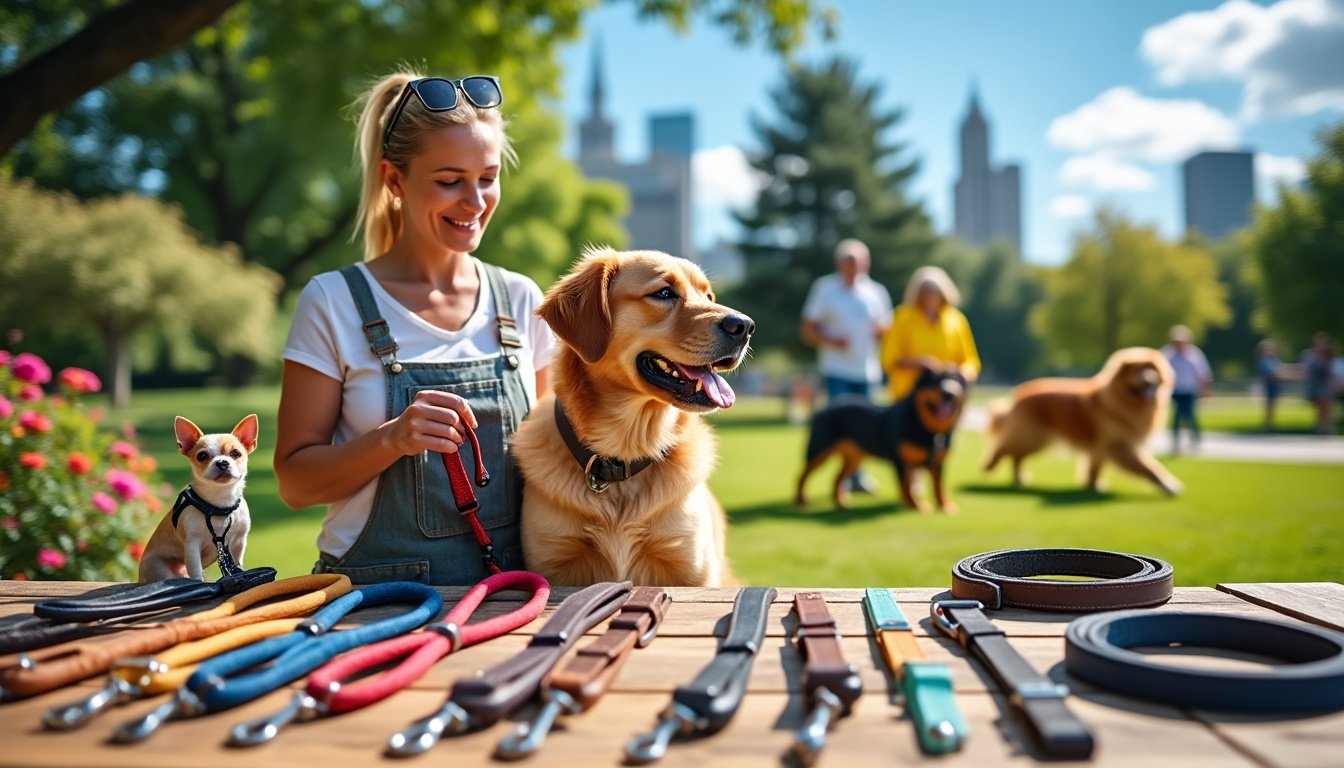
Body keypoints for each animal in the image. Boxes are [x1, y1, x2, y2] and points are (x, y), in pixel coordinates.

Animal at [508, 248, 752, 586]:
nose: (745, 325)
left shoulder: (690, 569)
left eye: (708, 295)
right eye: (664, 293)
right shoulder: (554, 564)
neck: (624, 454)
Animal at [790, 368, 973, 513]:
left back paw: (841, 502)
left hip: (854, 457)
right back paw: (800, 501)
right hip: (819, 451)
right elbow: (907, 486)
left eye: (956, 381)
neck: (929, 431)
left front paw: (945, 506)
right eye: (935, 382)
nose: (949, 393)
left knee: (837, 478)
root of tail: (826, 407)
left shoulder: (938, 463)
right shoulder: (901, 462)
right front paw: (916, 506)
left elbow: (939, 487)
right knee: (801, 475)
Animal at [983, 347, 1182, 494]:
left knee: (1016, 456)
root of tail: (1019, 393)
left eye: (1152, 370)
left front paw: (1093, 486)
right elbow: (1149, 467)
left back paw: (1019, 479)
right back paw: (989, 465)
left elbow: (1095, 468)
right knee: (1005, 448)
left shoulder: (1101, 447)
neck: (1120, 400)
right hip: (1032, 436)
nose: (1148, 381)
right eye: (1137, 370)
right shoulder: (1118, 446)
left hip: (1038, 439)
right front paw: (1168, 485)